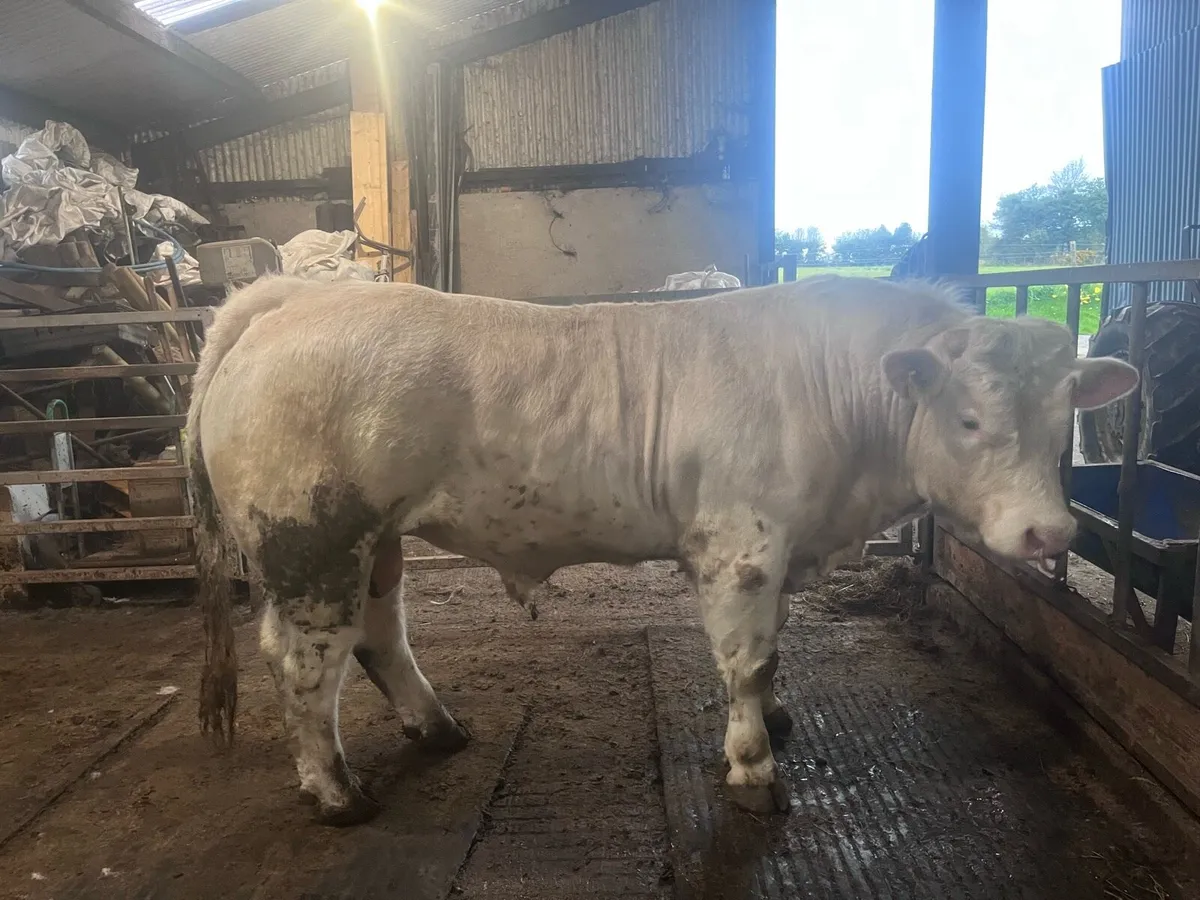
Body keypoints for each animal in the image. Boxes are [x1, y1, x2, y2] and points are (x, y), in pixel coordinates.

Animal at [189, 274, 1138, 826]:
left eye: (1065, 418)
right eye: (970, 419)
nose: (1051, 534)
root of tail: (290, 298)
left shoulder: (781, 548)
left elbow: (775, 650)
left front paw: (778, 720)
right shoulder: (740, 545)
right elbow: (748, 661)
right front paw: (753, 764)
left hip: (373, 539)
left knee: (378, 636)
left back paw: (437, 729)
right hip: (315, 539)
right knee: (306, 662)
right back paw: (335, 790)